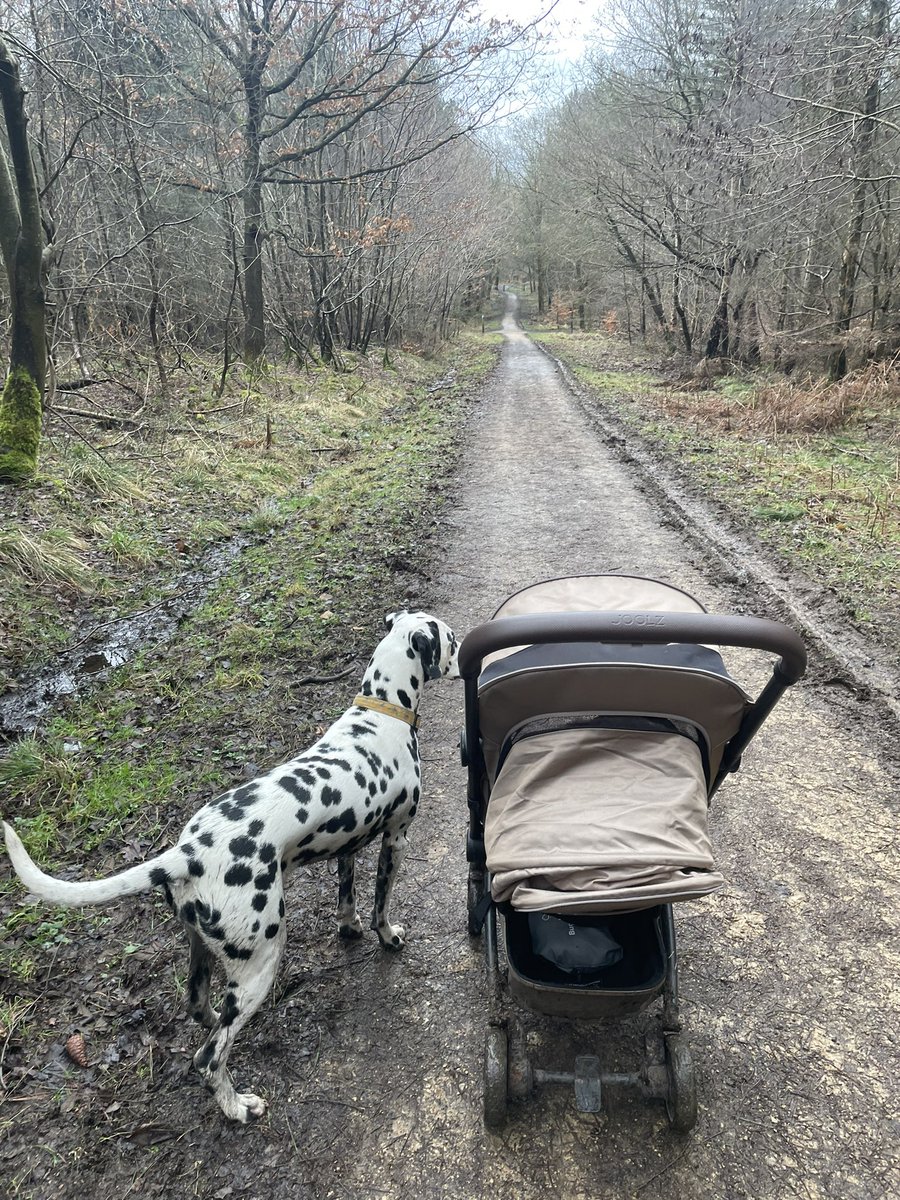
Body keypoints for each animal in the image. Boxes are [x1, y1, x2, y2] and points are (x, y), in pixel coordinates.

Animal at [1, 609, 458, 1123]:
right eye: (451, 639)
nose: (466, 651)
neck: (382, 710)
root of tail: (187, 854)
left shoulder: (349, 845)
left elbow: (347, 897)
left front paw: (349, 927)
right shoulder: (395, 838)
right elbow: (381, 905)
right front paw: (387, 937)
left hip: (203, 950)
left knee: (201, 1008)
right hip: (261, 963)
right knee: (210, 1056)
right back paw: (238, 1107)